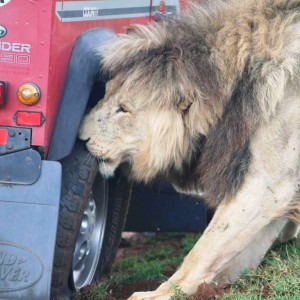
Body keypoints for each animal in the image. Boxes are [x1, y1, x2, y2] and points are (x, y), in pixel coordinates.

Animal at [79, 1, 300, 298]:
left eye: (123, 109)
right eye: (105, 94)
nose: (80, 136)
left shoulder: (269, 183)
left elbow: (204, 249)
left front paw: (159, 293)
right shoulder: (279, 195)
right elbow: (233, 255)